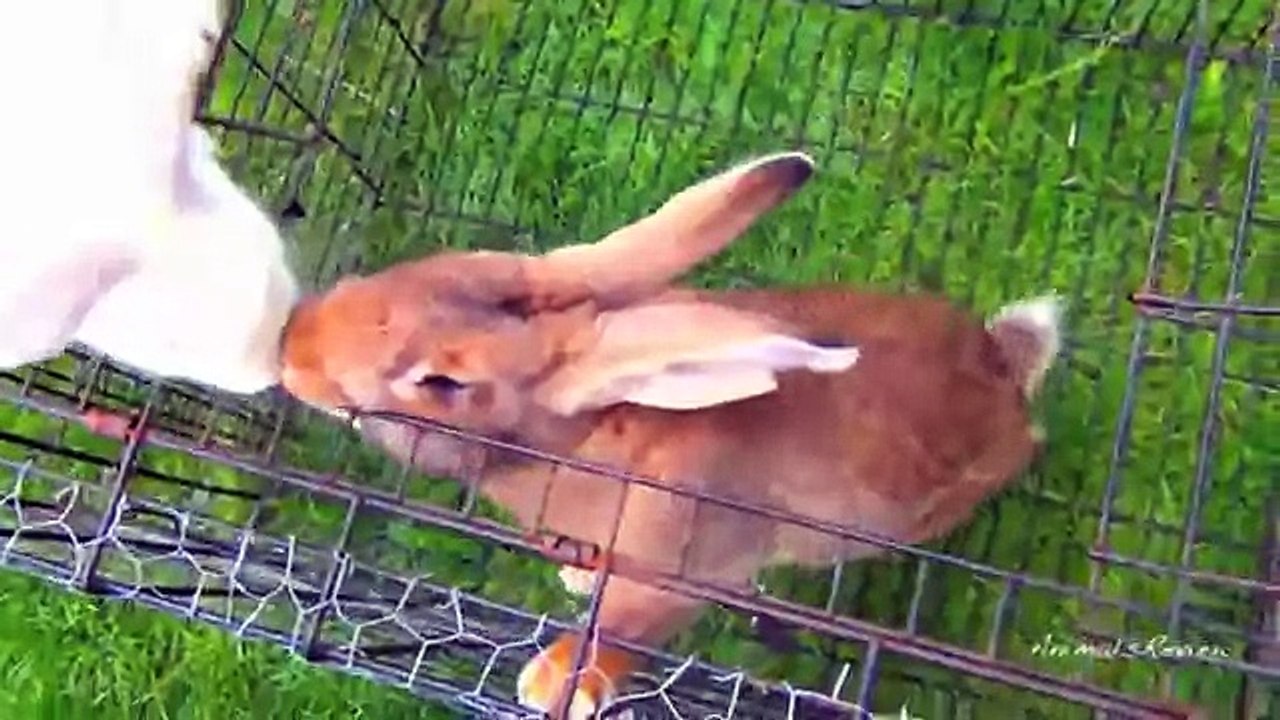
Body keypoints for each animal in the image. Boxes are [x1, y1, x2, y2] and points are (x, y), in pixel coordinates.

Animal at [278, 151, 1062, 719]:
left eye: (442, 382)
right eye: (445, 262)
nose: (295, 346)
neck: (584, 439)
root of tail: (1005, 368)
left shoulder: (686, 569)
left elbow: (625, 625)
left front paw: (557, 683)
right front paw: (576, 579)